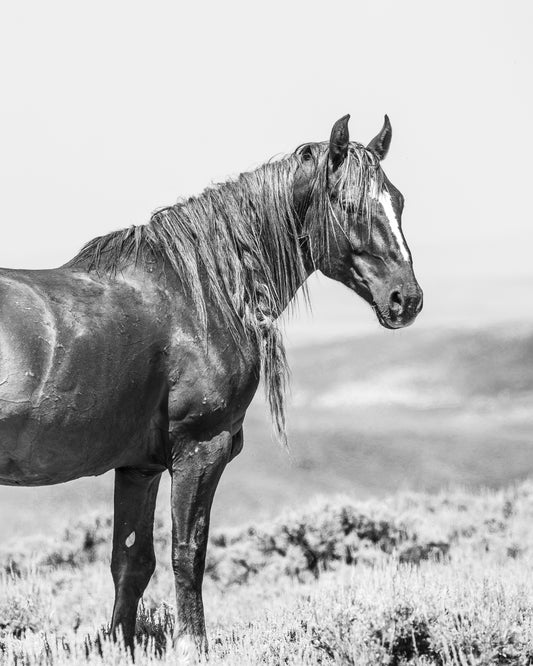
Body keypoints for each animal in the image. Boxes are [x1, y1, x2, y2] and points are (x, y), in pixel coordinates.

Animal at [0, 114, 422, 652]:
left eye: (398, 200)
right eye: (348, 204)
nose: (407, 299)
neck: (199, 292)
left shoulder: (139, 467)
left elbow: (131, 564)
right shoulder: (201, 449)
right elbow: (188, 554)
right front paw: (191, 643)